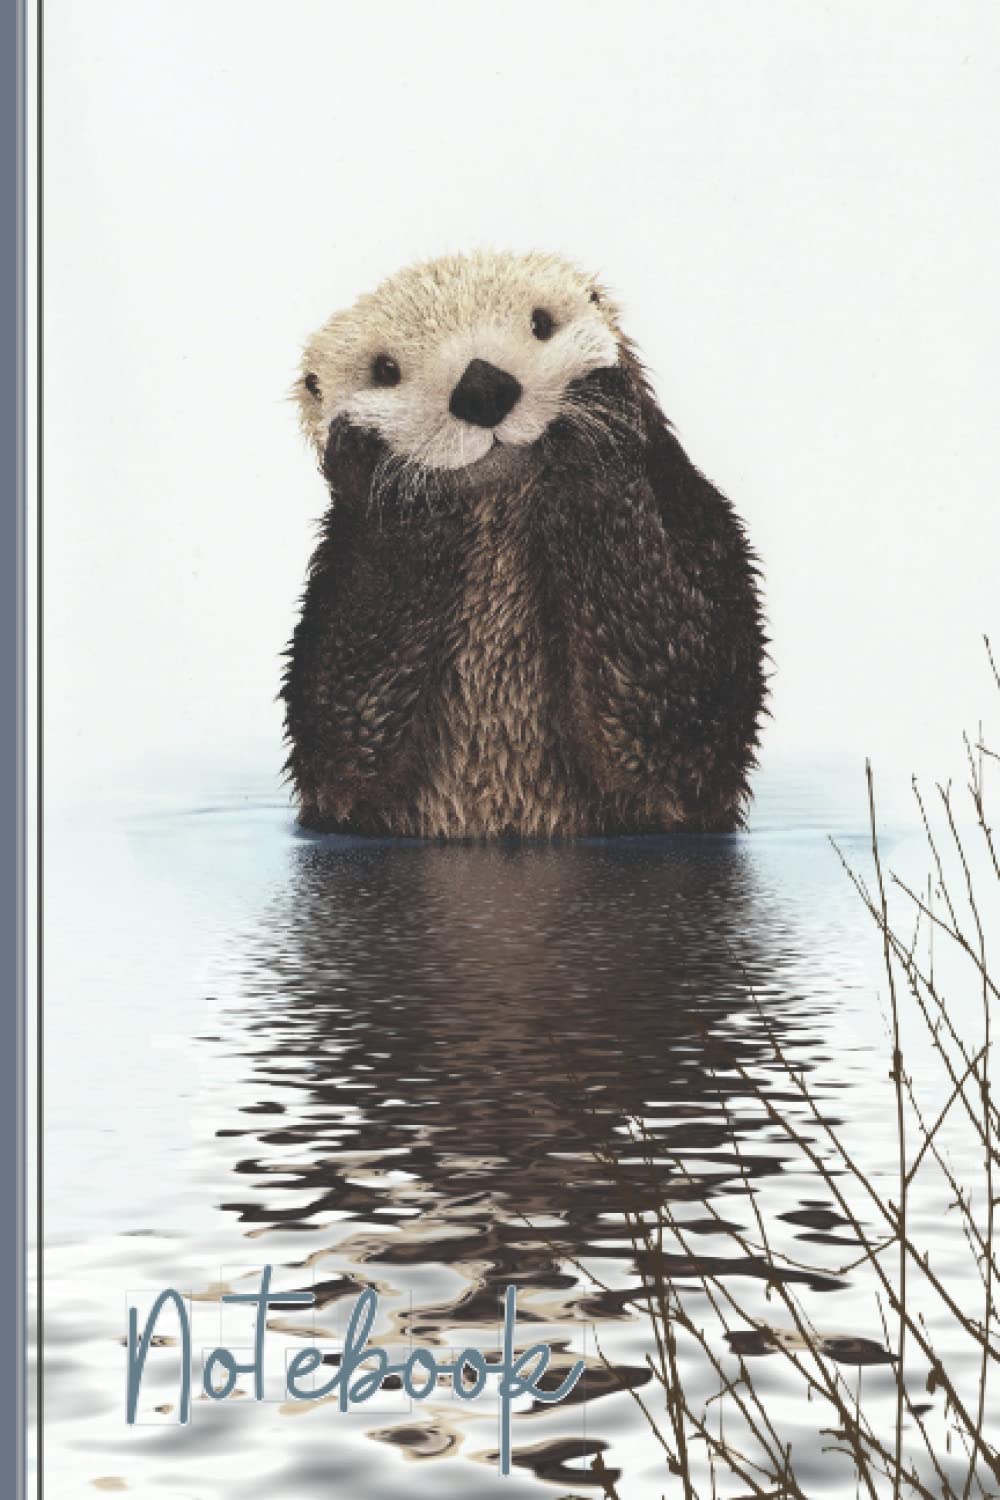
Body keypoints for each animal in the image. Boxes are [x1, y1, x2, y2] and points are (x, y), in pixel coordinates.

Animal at [282, 250, 766, 838]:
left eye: (541, 323)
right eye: (384, 370)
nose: (482, 387)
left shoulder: (698, 523)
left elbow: (683, 708)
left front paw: (595, 416)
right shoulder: (333, 591)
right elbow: (342, 734)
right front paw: (380, 467)